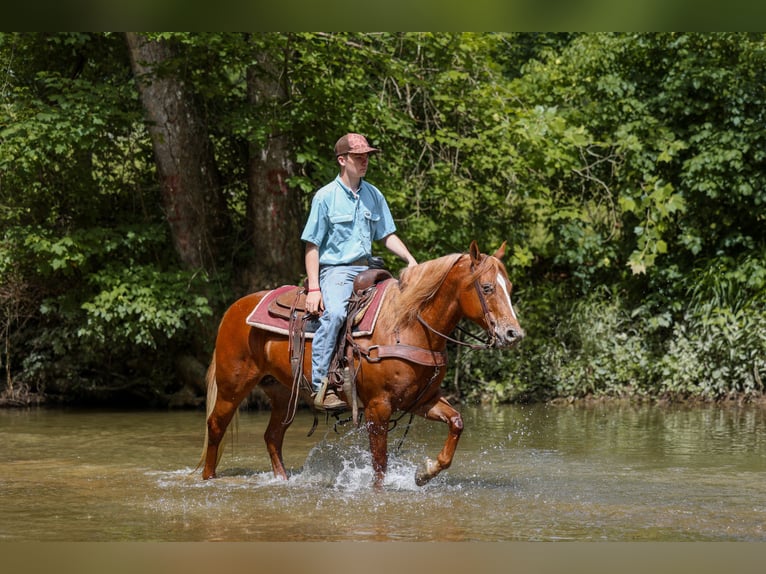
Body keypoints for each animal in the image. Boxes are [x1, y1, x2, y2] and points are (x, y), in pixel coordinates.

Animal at [197, 240, 524, 488]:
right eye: (486, 288)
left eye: (508, 286)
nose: (513, 334)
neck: (407, 324)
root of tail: (233, 309)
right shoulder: (378, 407)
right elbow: (380, 465)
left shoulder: (421, 400)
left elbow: (456, 422)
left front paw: (425, 472)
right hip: (232, 386)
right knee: (215, 426)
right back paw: (208, 478)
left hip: (281, 393)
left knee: (272, 437)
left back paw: (283, 480)